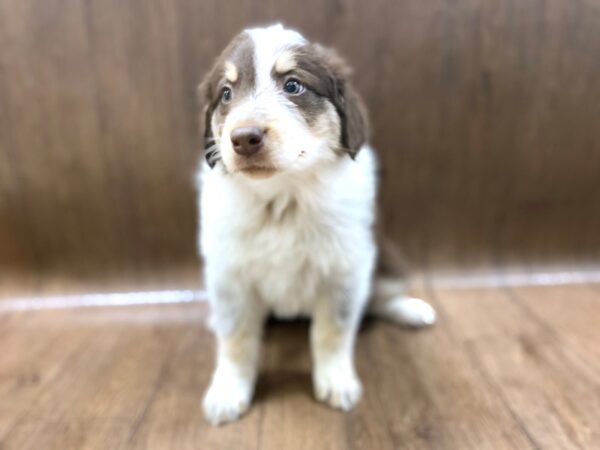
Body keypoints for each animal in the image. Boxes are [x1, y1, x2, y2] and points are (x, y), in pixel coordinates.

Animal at [197, 23, 436, 426]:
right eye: (226, 93)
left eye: (293, 85)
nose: (244, 138)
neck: (283, 199)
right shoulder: (230, 276)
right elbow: (236, 339)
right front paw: (228, 392)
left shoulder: (345, 270)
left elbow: (332, 332)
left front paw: (336, 382)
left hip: (388, 259)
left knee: (380, 298)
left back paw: (411, 310)